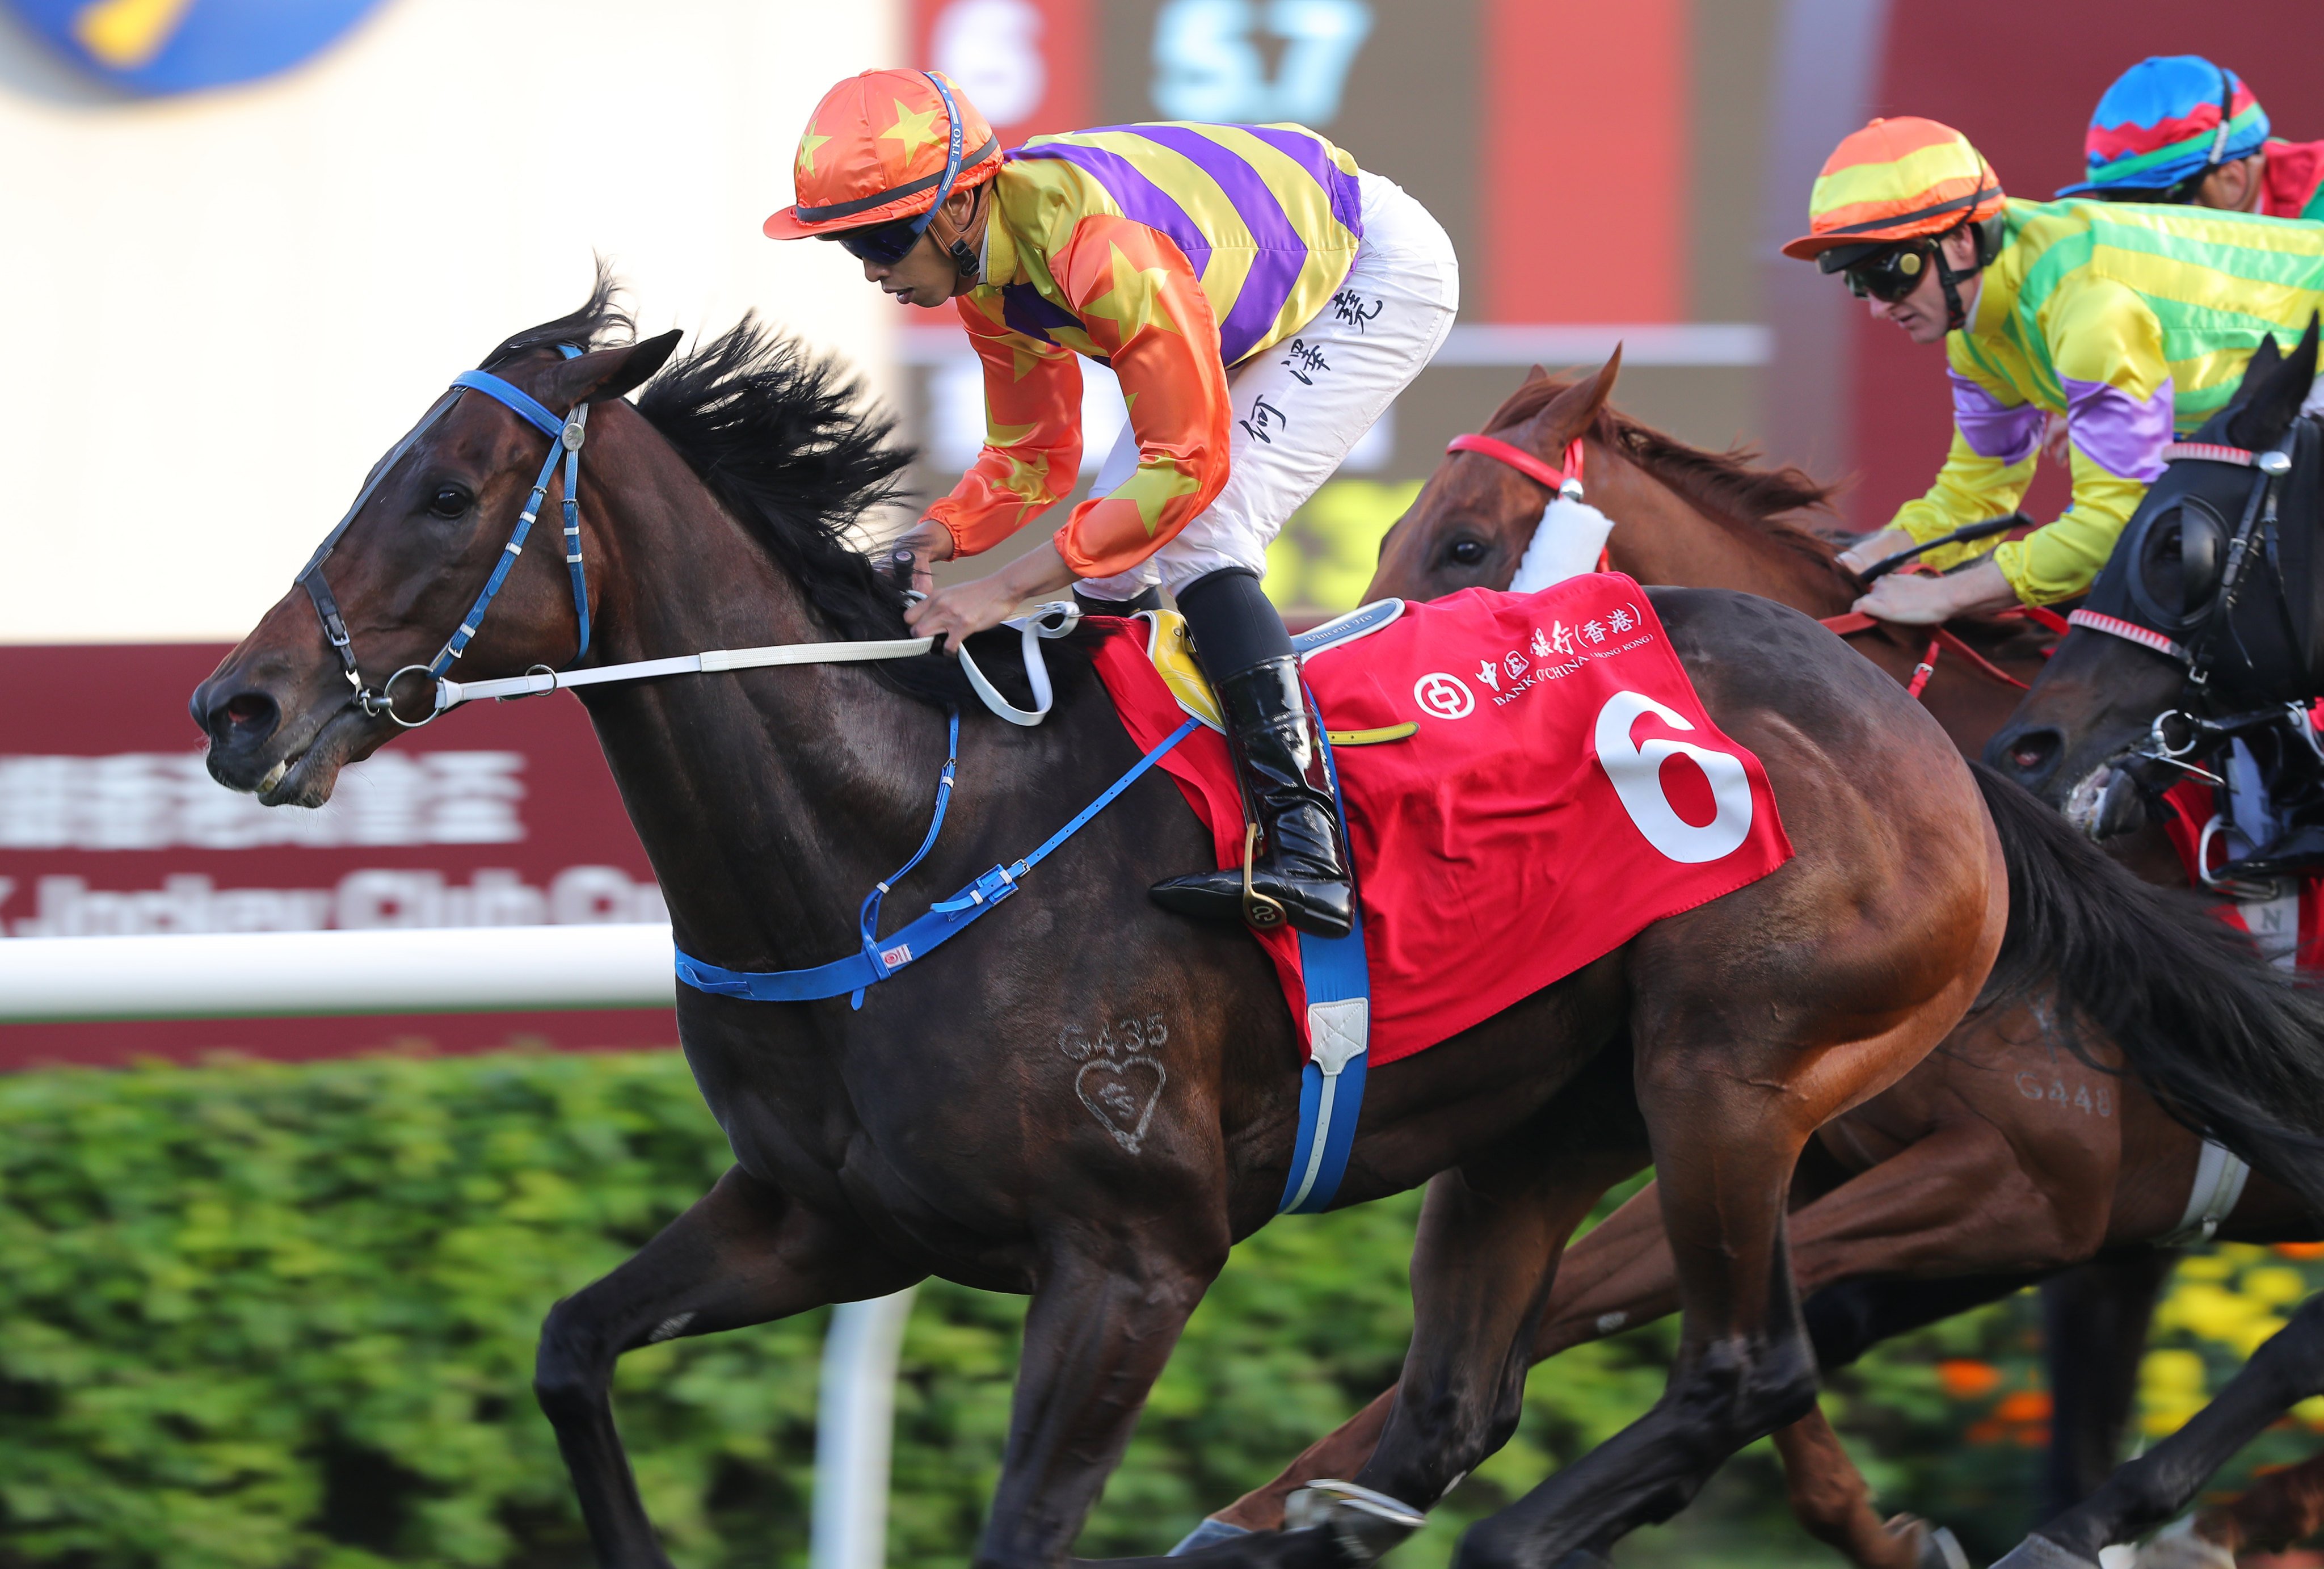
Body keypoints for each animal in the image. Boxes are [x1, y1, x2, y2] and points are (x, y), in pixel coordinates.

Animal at [1199, 355, 2324, 1569]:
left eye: (1463, 544)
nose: (1345, 697)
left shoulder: (2034, 1186)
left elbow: (1649, 1304)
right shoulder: (1838, 1144)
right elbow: (1715, 1311)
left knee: (2289, 1350)